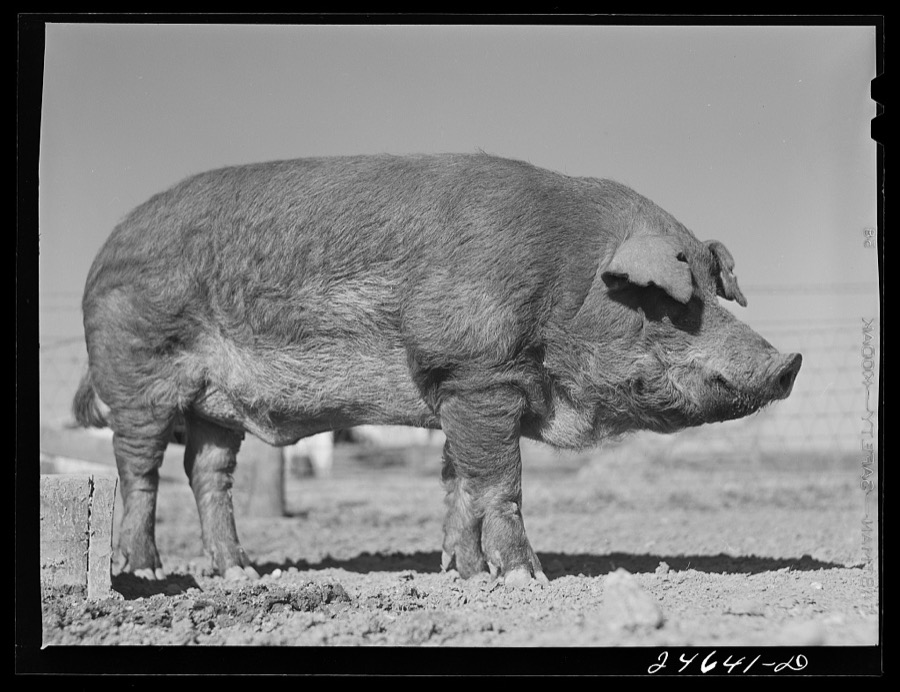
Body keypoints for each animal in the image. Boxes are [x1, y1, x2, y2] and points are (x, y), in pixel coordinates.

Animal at [73, 153, 802, 585]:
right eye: (675, 302)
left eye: (715, 290)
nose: (789, 361)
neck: (564, 285)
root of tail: (104, 250)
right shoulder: (477, 371)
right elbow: (501, 483)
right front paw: (526, 579)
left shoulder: (456, 393)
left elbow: (461, 487)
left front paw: (463, 573)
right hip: (138, 372)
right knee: (139, 468)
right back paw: (143, 574)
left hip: (216, 406)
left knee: (207, 472)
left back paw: (240, 573)